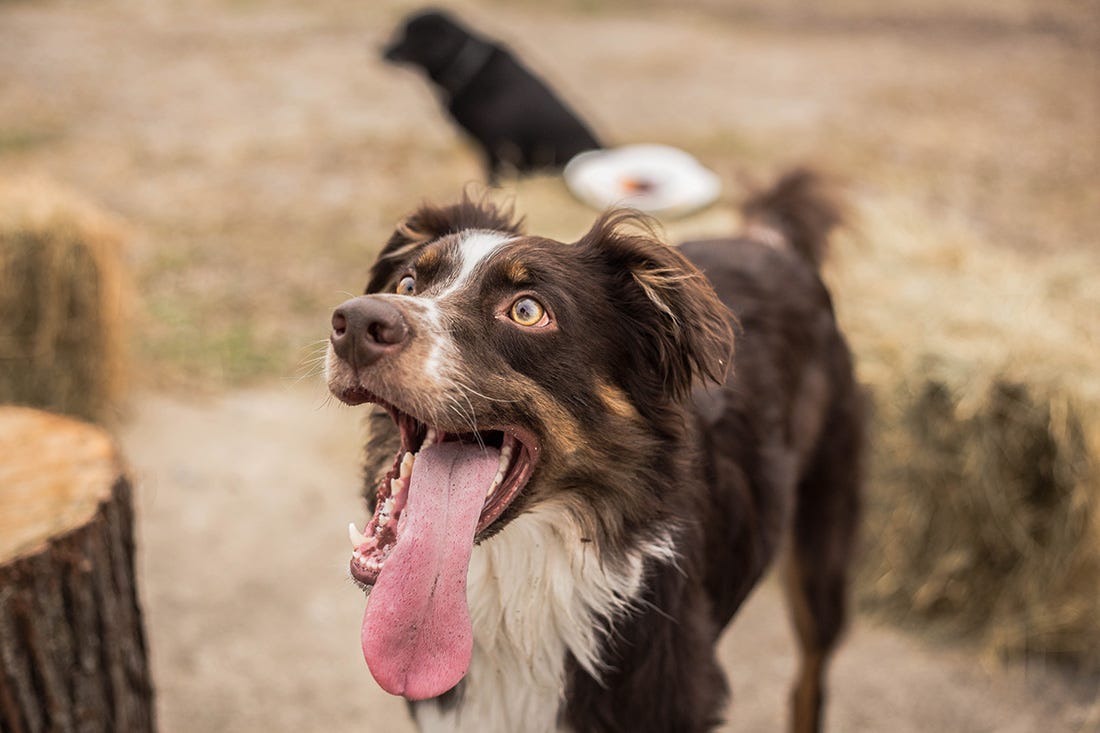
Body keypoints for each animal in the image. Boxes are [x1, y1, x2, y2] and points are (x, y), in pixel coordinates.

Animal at [323, 169, 858, 730]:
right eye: (407, 284)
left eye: (527, 310)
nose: (354, 323)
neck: (522, 593)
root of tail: (770, 244)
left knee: (811, 675)